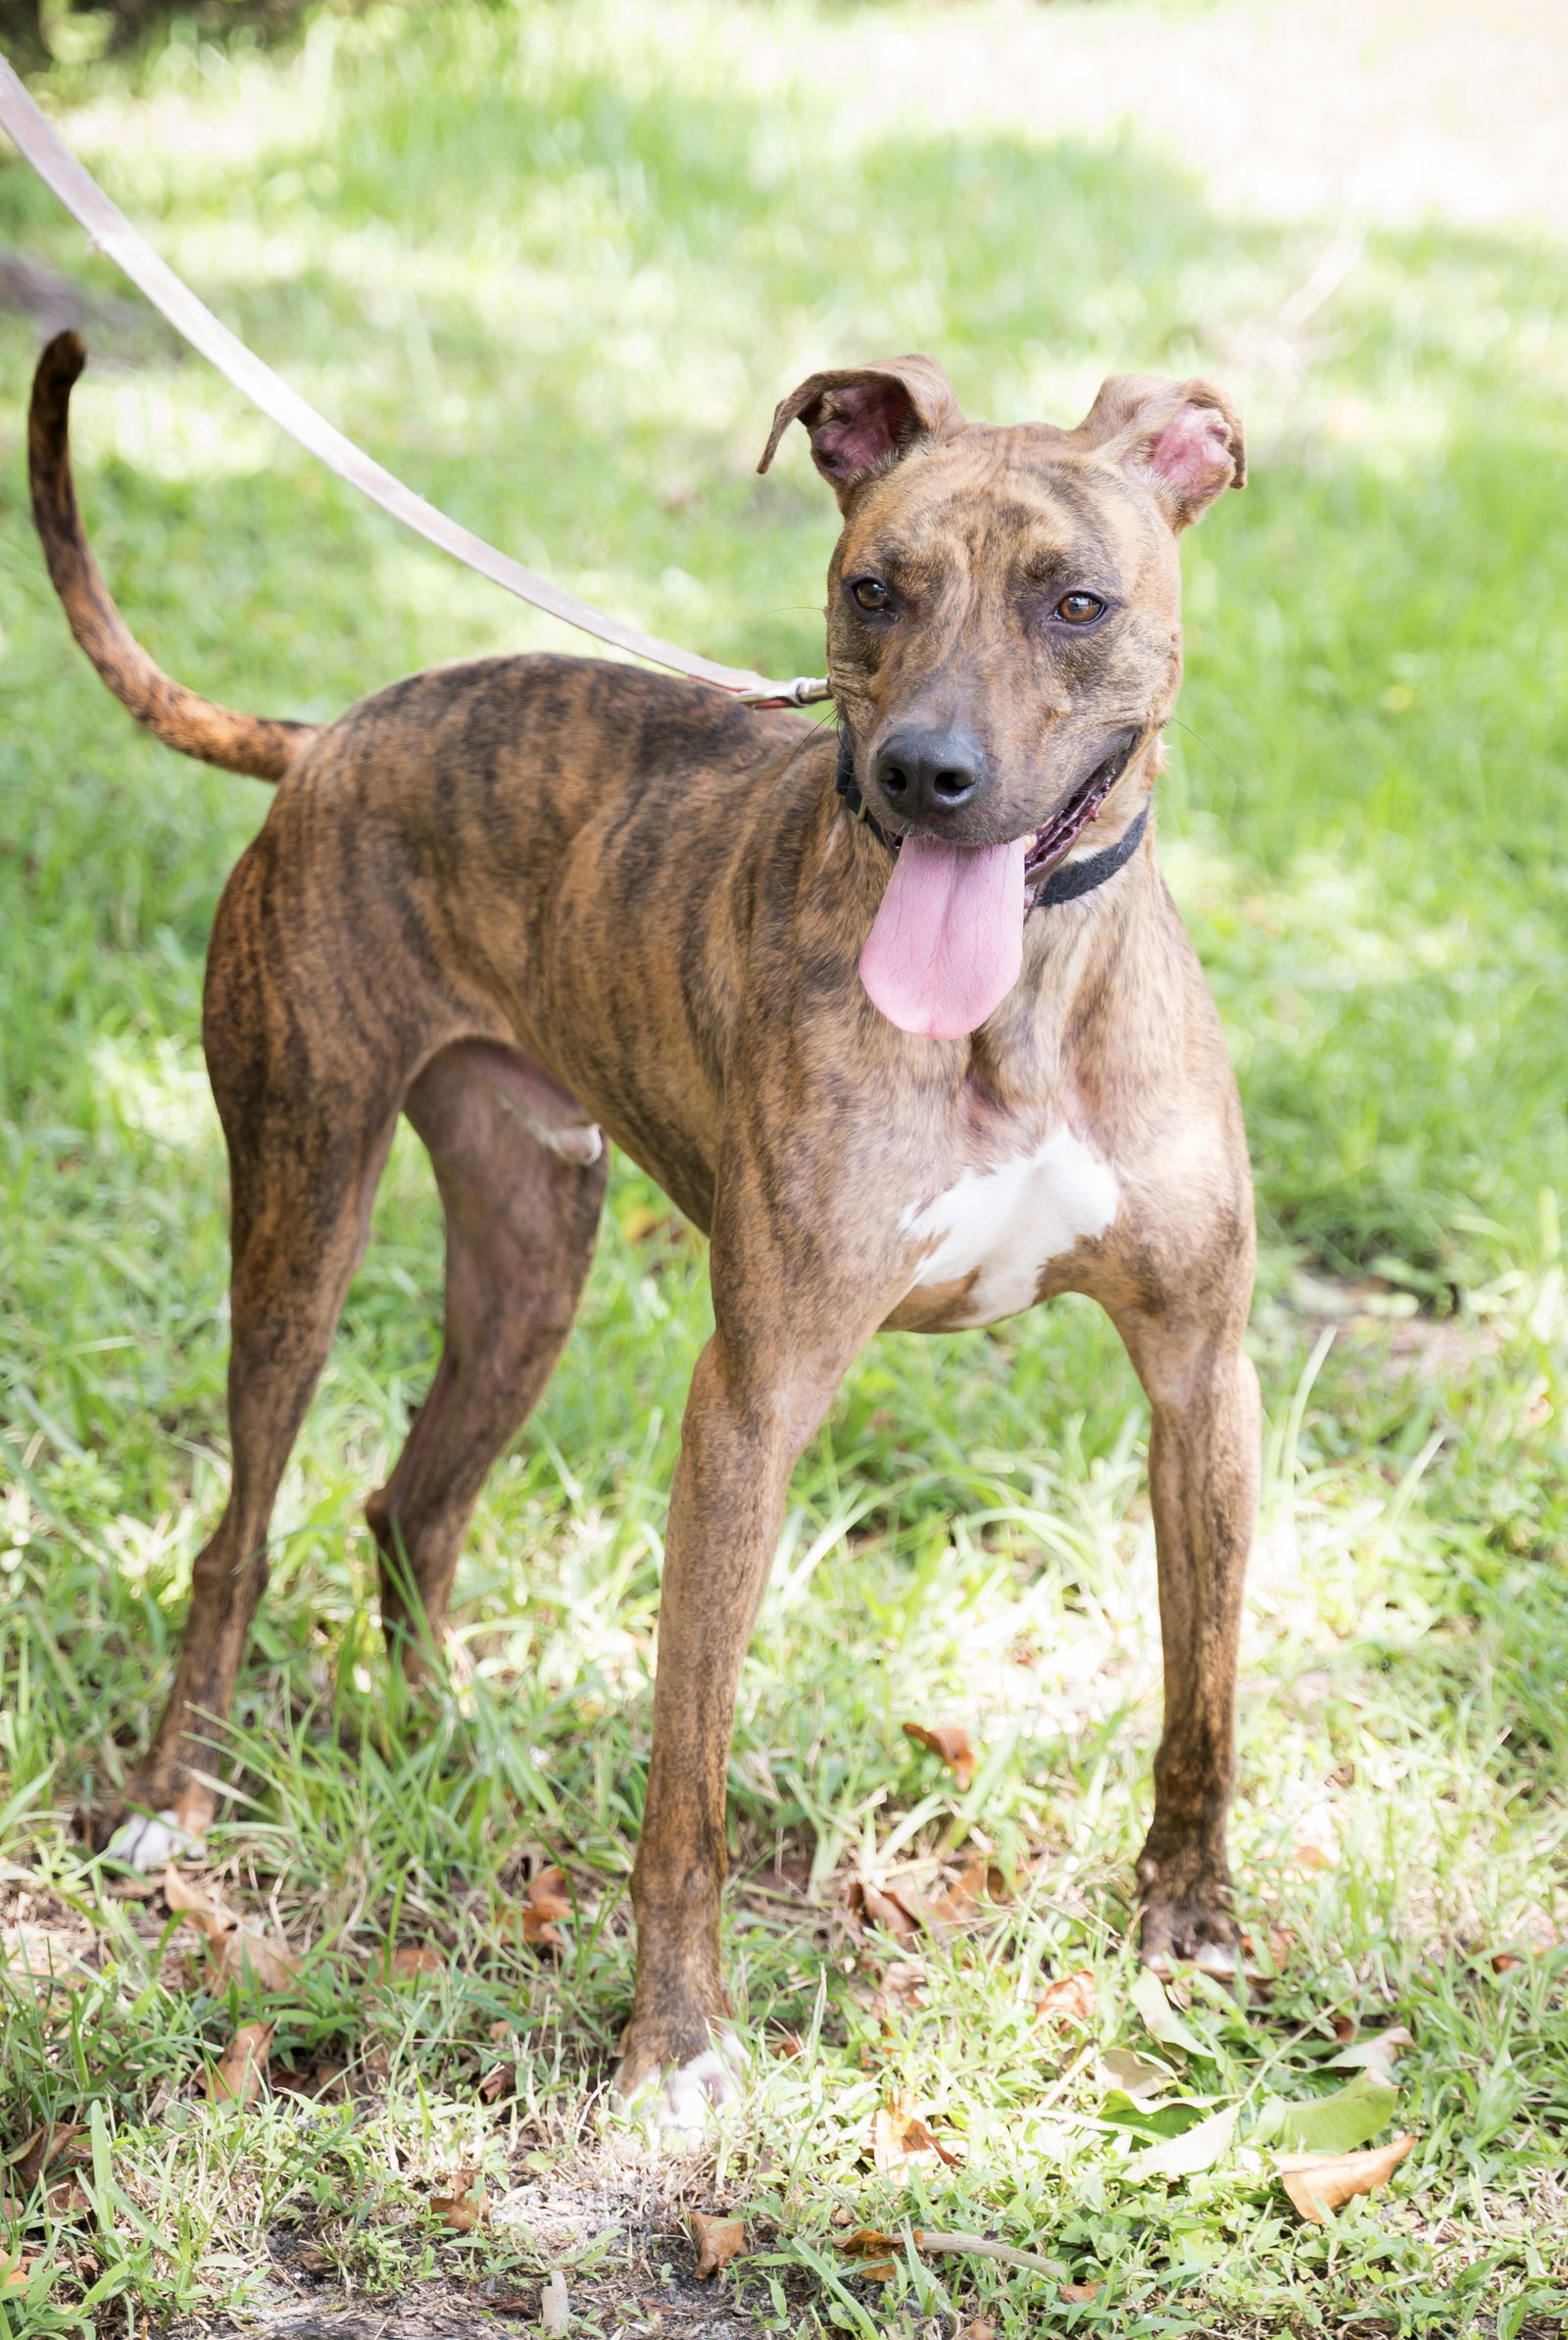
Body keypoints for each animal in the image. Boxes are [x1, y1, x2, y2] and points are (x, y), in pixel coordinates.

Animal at [30, 334, 1263, 2143]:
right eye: (872, 587)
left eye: (1077, 602)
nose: (924, 775)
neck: (1023, 1007)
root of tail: (328, 738)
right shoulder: (752, 1401)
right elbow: (687, 1779)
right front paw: (674, 2039)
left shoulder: (1201, 1375)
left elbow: (1201, 1692)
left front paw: (1189, 1924)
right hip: (301, 1204)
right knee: (238, 1531)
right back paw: (168, 1797)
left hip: (530, 1252)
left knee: (412, 1505)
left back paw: (447, 1734)